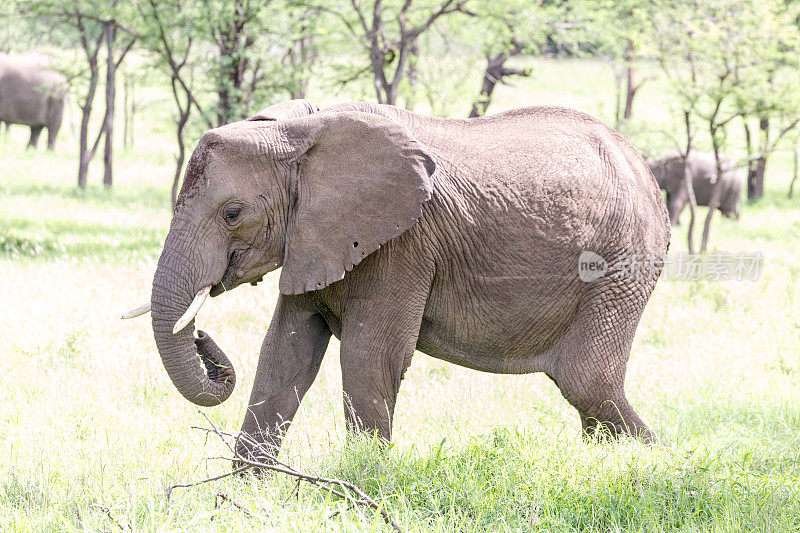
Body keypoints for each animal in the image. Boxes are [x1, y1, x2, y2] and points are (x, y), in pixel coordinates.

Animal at [125, 98, 672, 458]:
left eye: (232, 213)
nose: (201, 333)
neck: (304, 130)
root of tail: (643, 168)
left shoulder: (403, 243)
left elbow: (368, 359)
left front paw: (364, 486)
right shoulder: (315, 238)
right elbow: (283, 356)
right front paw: (239, 497)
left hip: (622, 263)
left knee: (587, 382)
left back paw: (654, 463)